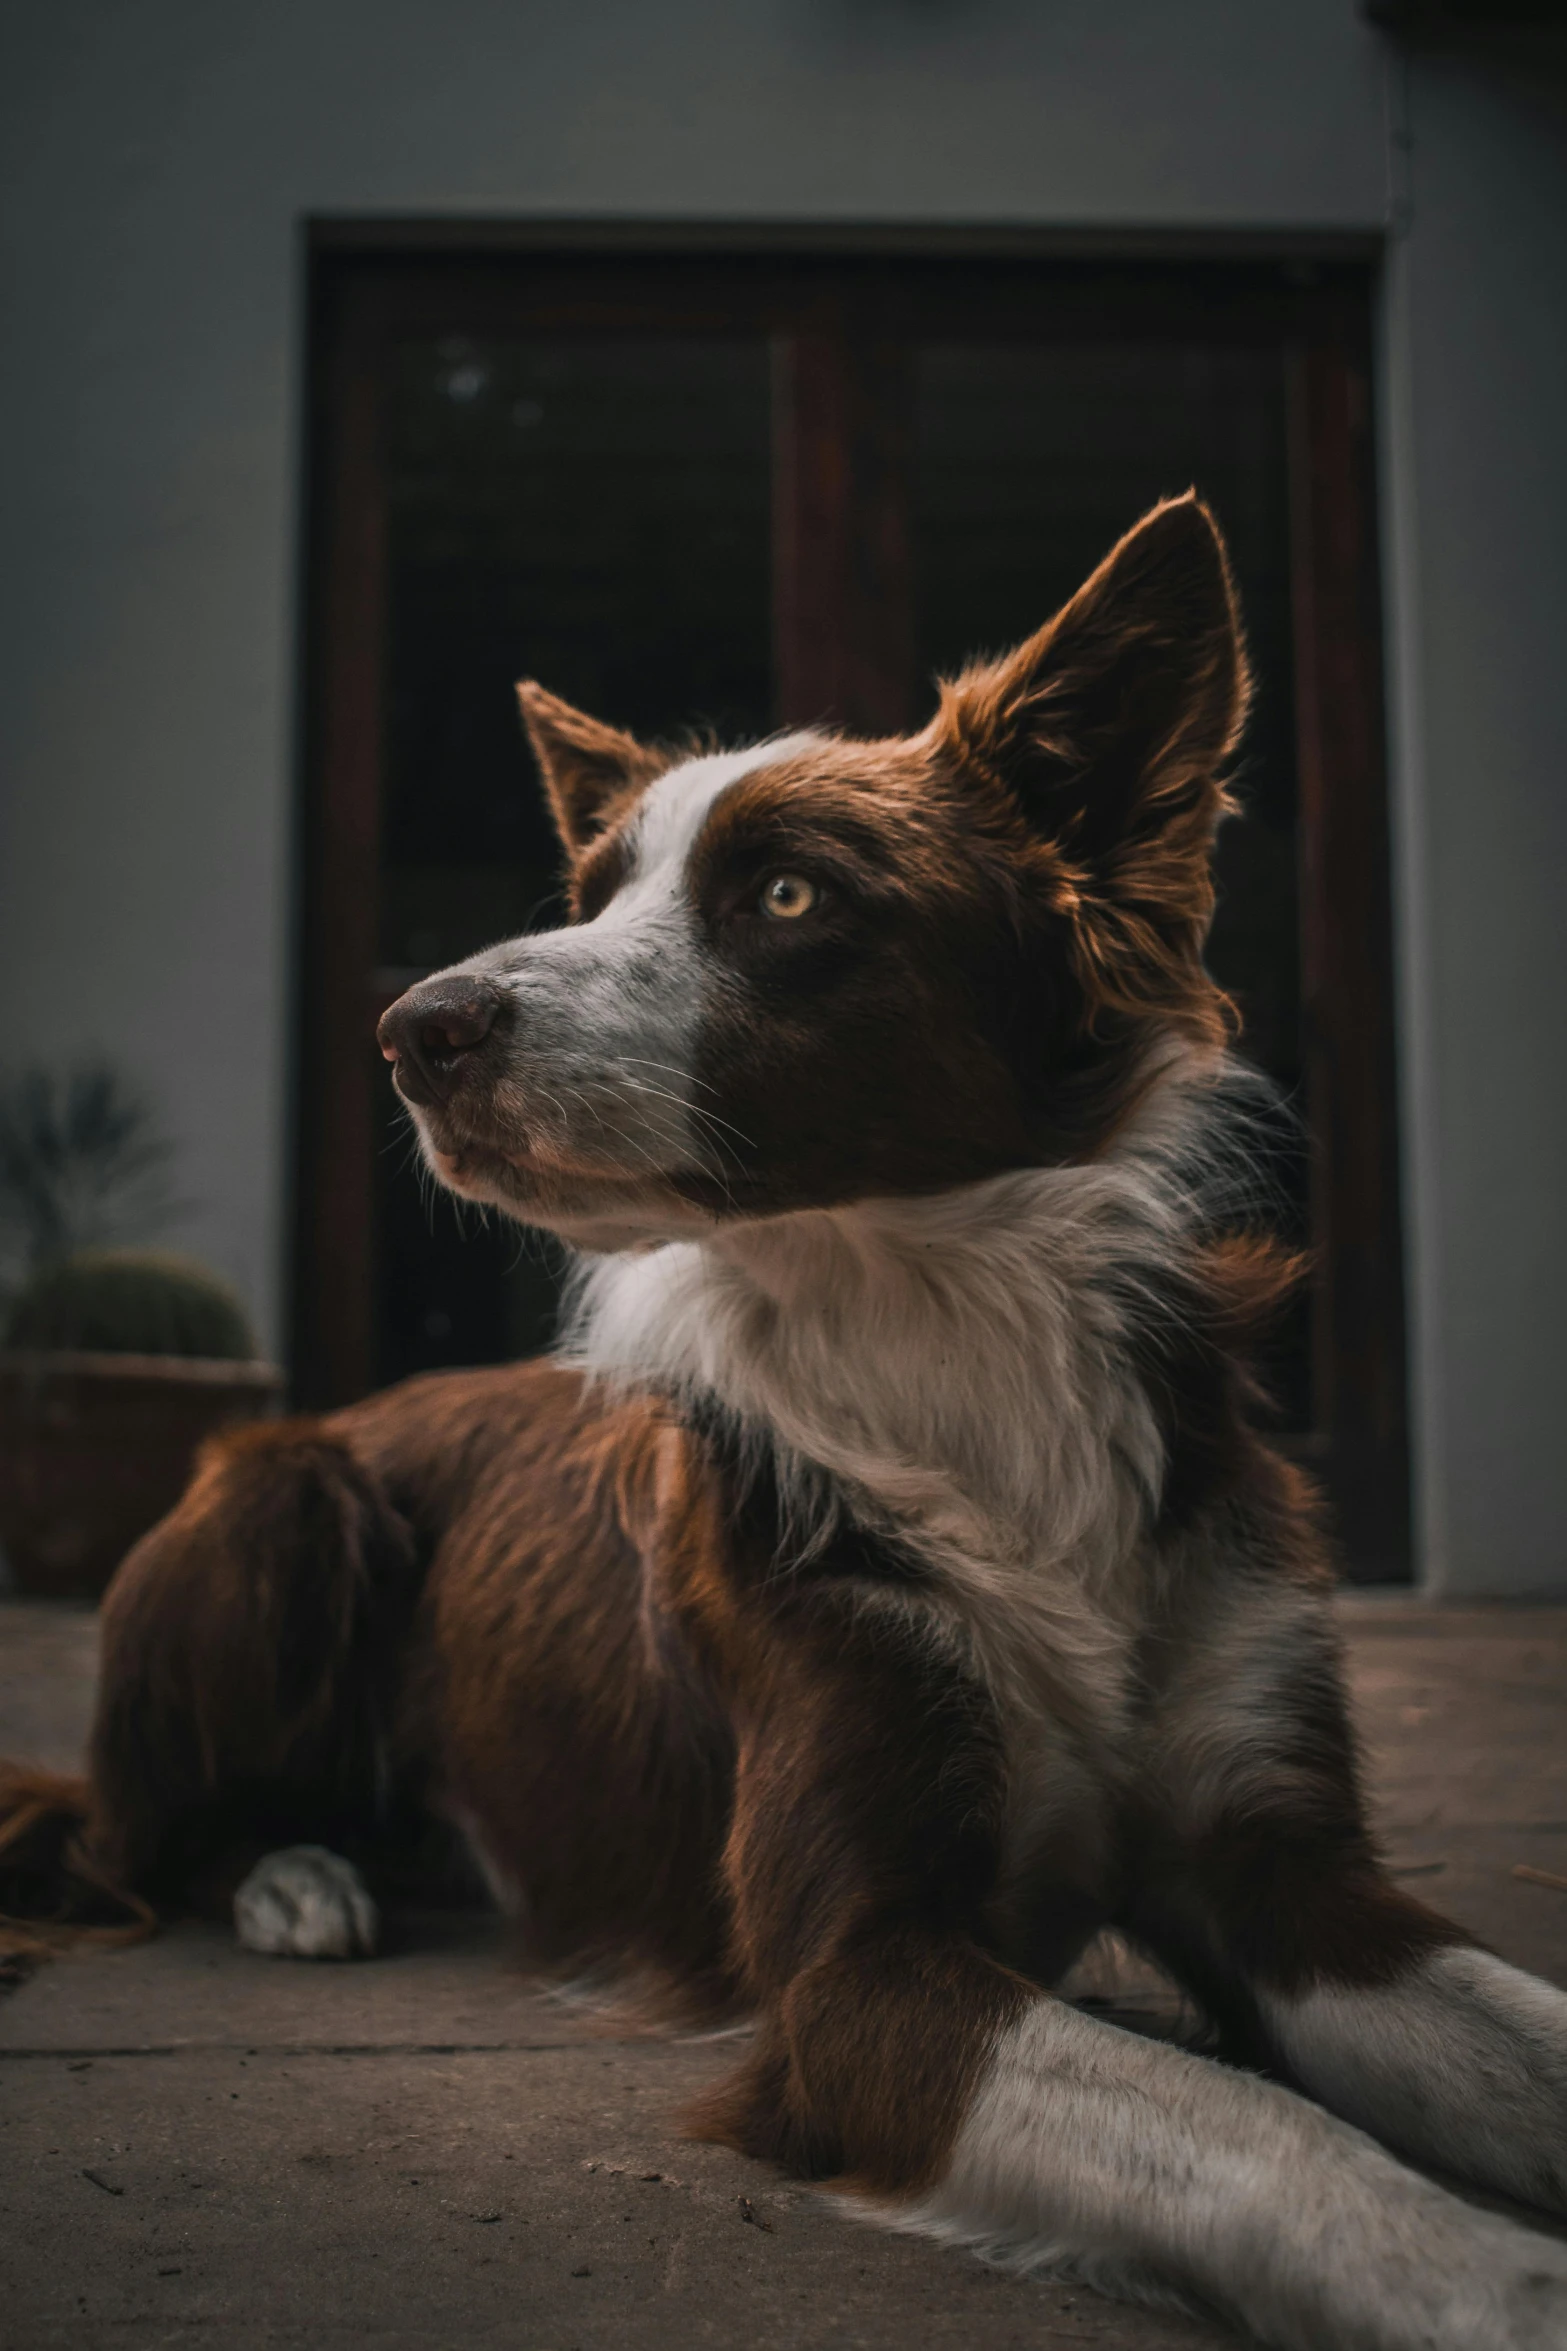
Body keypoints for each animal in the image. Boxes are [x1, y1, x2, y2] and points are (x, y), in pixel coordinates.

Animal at [3, 491, 1567, 2332]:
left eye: (787, 890)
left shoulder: (1287, 1868)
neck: (931, 1322)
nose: (411, 1029)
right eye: (593, 891)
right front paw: (1503, 2279)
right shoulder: (851, 1970)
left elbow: (1503, 2041)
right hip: (280, 1502)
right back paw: (296, 1876)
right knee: (121, 1834)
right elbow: (1262, 2134)